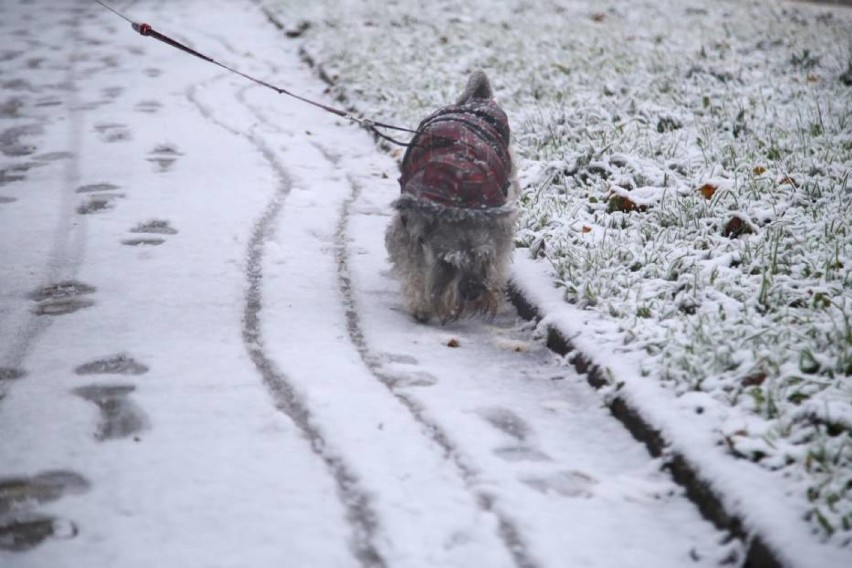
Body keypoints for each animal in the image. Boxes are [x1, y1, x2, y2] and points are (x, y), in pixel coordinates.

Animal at [386, 69, 520, 322]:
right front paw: (420, 305)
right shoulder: (407, 227)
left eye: (483, 258)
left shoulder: (499, 229)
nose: (474, 292)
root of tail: (476, 100)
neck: (459, 197)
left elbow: (500, 258)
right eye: (447, 263)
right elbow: (412, 266)